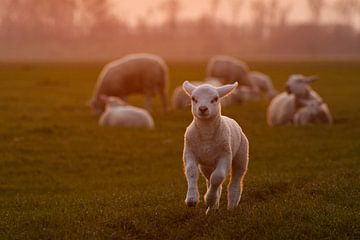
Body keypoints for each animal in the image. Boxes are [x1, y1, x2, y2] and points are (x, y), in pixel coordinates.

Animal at [181, 80, 249, 214]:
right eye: (193, 98)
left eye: (215, 99)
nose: (203, 109)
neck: (206, 133)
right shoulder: (189, 152)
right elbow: (191, 171)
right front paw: (192, 199)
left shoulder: (225, 155)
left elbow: (218, 177)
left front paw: (209, 199)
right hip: (206, 165)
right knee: (211, 181)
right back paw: (212, 208)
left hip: (241, 156)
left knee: (235, 182)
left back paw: (231, 206)